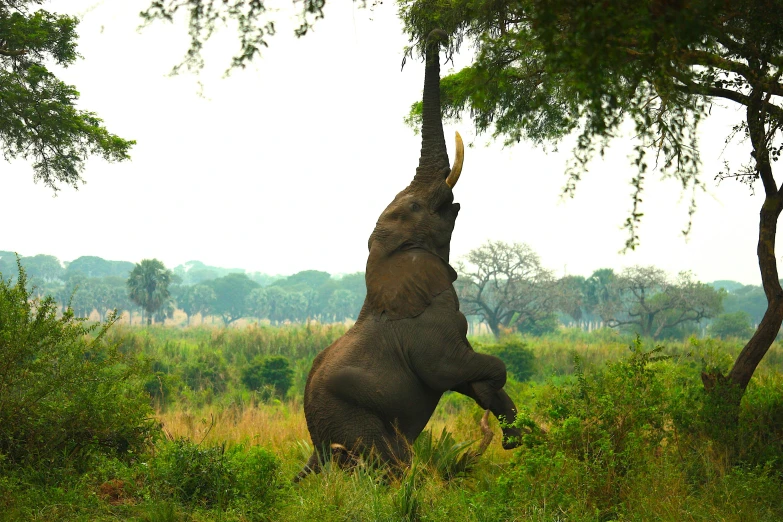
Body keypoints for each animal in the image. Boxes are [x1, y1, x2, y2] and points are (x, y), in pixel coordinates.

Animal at [298, 29, 524, 480]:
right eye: (417, 207)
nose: (436, 33)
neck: (387, 260)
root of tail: (317, 444)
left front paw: (522, 436)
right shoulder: (429, 331)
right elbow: (455, 368)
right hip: (354, 421)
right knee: (395, 466)